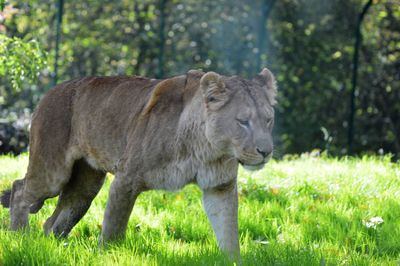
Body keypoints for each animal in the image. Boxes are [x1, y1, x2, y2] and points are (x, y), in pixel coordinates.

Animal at [0, 68, 276, 256]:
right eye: (242, 121)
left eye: (268, 120)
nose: (266, 151)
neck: (207, 150)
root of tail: (50, 91)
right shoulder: (127, 179)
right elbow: (113, 229)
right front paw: (106, 257)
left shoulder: (220, 187)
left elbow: (228, 232)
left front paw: (232, 260)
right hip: (53, 172)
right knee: (19, 189)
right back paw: (19, 237)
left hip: (85, 186)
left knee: (53, 220)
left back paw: (54, 247)